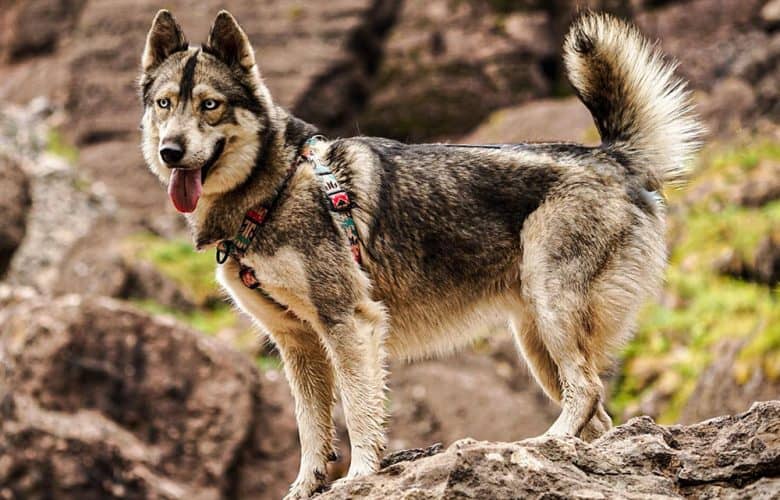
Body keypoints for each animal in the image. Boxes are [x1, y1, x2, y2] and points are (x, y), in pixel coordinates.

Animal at [139, 9, 700, 498]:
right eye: (165, 104)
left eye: (210, 105)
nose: (170, 151)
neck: (272, 189)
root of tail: (613, 155)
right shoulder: (297, 343)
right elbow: (312, 433)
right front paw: (305, 487)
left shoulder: (350, 323)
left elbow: (359, 414)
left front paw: (360, 475)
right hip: (536, 342)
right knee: (599, 414)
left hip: (553, 312)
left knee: (586, 392)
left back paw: (547, 442)